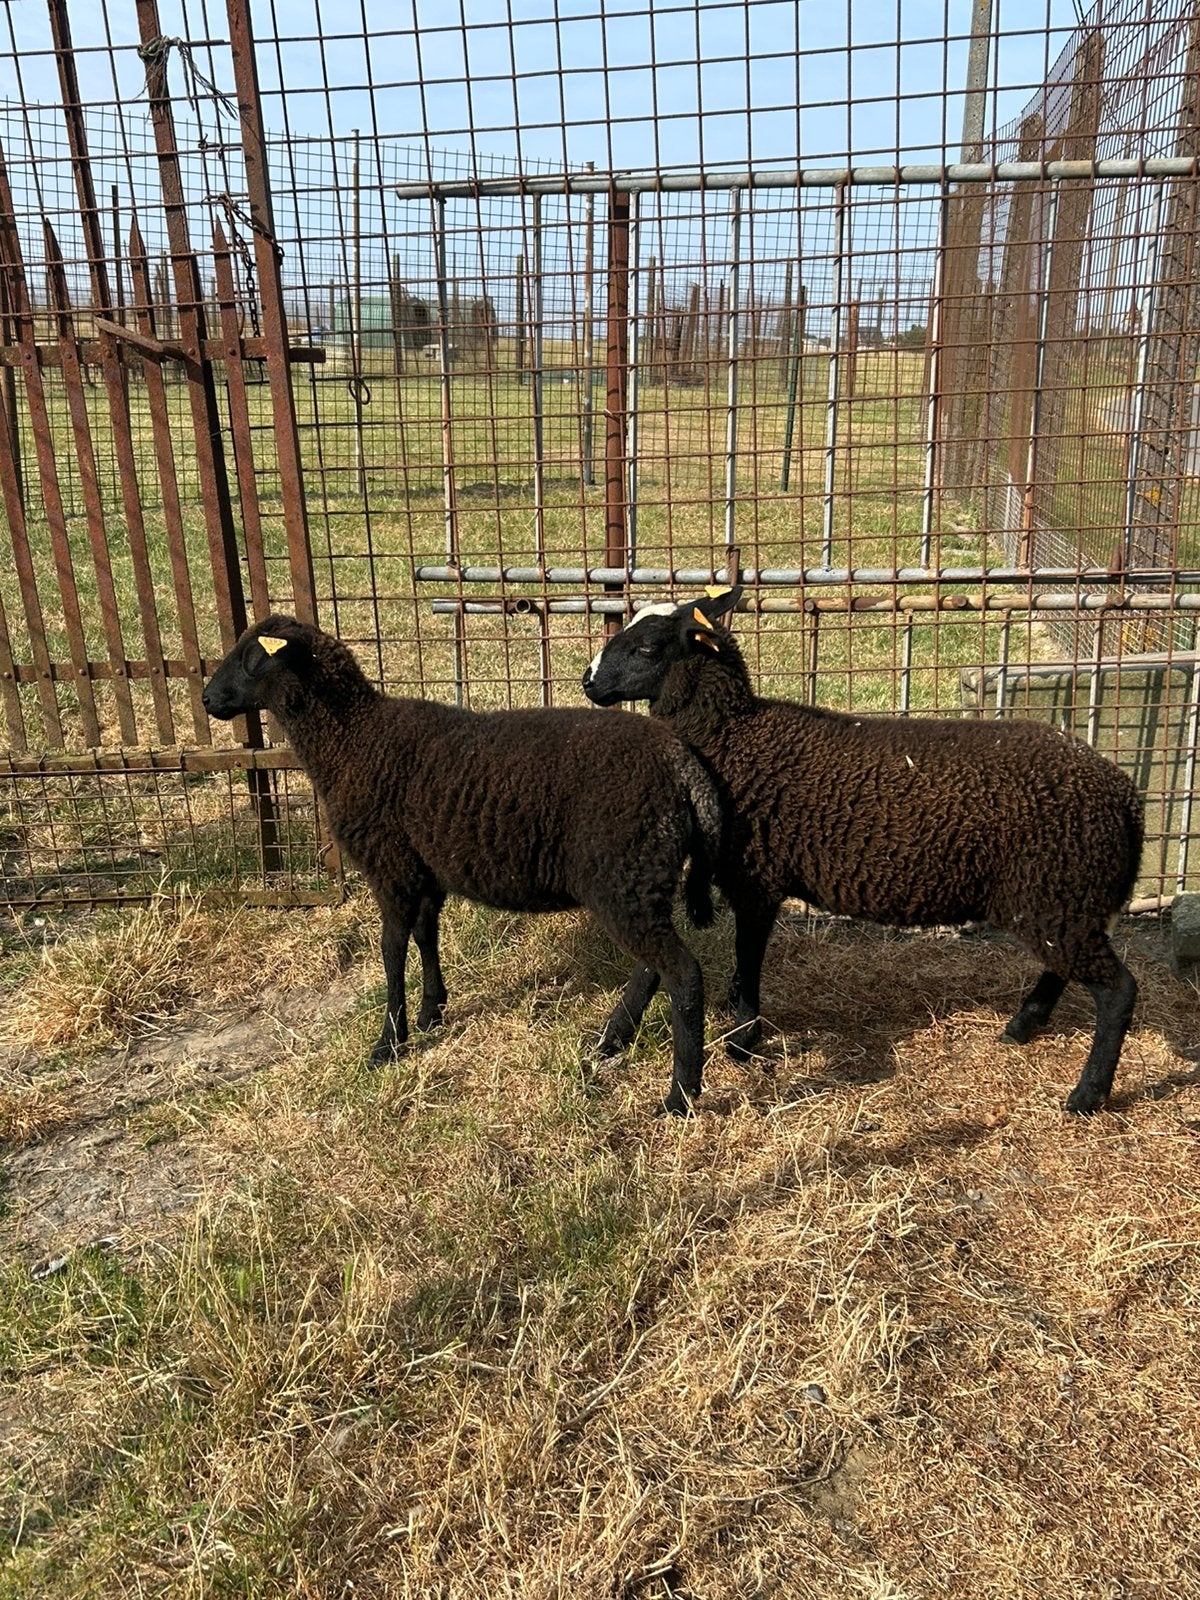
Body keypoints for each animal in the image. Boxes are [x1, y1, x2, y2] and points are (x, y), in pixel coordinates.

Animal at [202, 614, 723, 1115]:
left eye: (251, 657)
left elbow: (391, 951)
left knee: (682, 974)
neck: (353, 739)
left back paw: (680, 1096)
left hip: (624, 877)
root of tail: (681, 765)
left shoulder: (390, 867)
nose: (208, 699)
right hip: (641, 882)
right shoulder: (425, 871)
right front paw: (431, 1012)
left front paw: (388, 1044)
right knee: (652, 968)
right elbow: (424, 936)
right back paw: (612, 1040)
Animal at [582, 585, 1144, 1115]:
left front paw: (742, 1042)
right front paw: (617, 1038)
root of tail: (1125, 795)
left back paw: (1086, 1095)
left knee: (1118, 991)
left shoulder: (758, 877)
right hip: (1059, 900)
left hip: (1056, 893)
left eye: (648, 646)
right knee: (1062, 968)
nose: (588, 683)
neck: (732, 737)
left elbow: (747, 958)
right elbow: (661, 963)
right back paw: (1021, 1028)